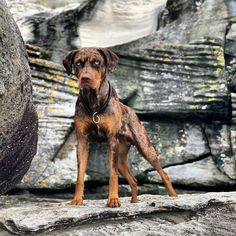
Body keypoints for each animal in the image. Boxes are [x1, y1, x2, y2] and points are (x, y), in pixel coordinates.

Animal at [62, 48, 177, 206]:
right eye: (78, 63)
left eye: (96, 62)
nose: (85, 78)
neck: (94, 104)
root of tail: (132, 111)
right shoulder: (82, 140)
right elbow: (80, 175)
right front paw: (77, 199)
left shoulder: (112, 141)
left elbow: (112, 174)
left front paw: (113, 199)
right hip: (122, 157)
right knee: (133, 180)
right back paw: (134, 201)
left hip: (144, 147)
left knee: (163, 173)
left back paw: (173, 196)